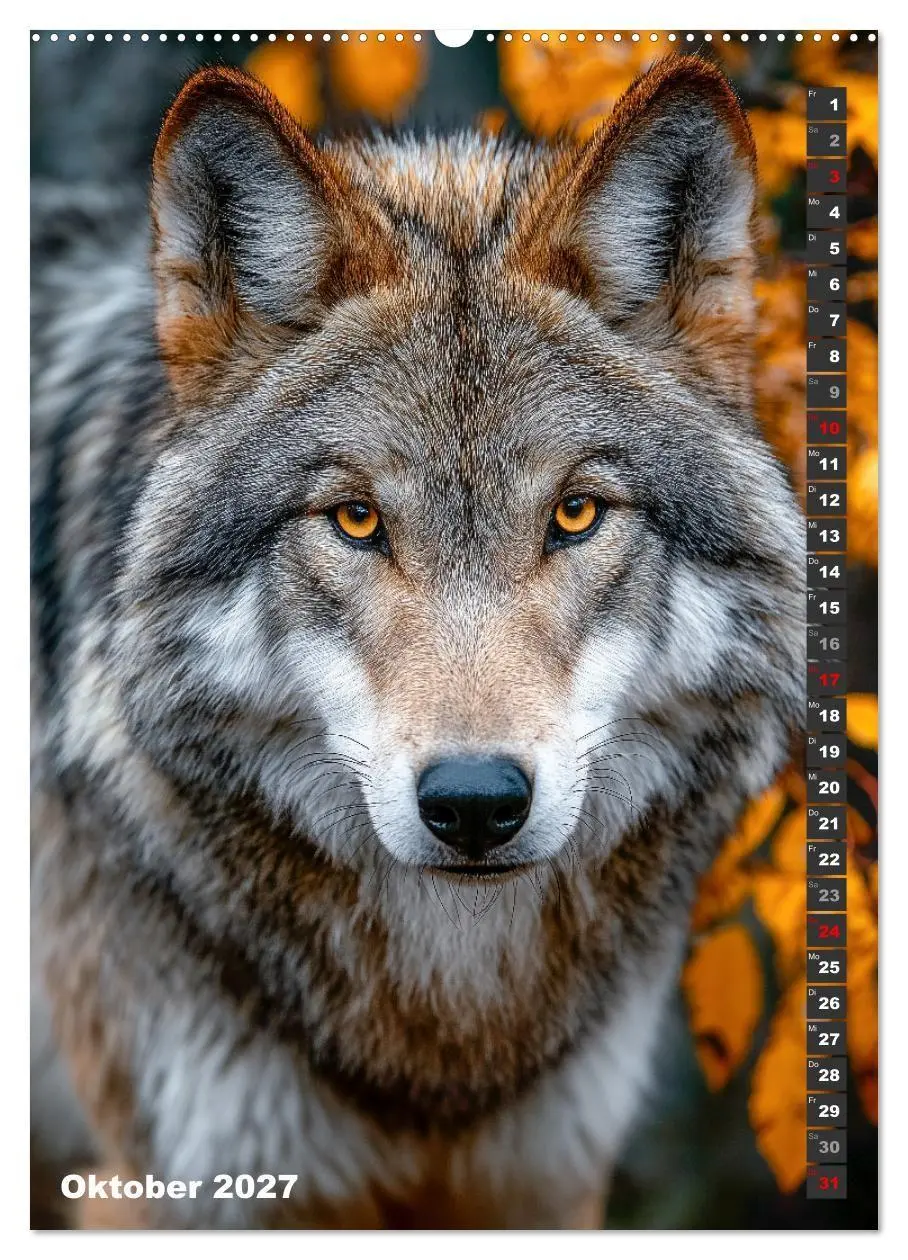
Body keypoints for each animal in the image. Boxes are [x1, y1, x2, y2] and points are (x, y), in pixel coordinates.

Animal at [31, 55, 804, 1228]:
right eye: (356, 520)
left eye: (576, 514)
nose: (475, 803)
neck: (442, 1041)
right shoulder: (173, 1180)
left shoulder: (545, 1177)